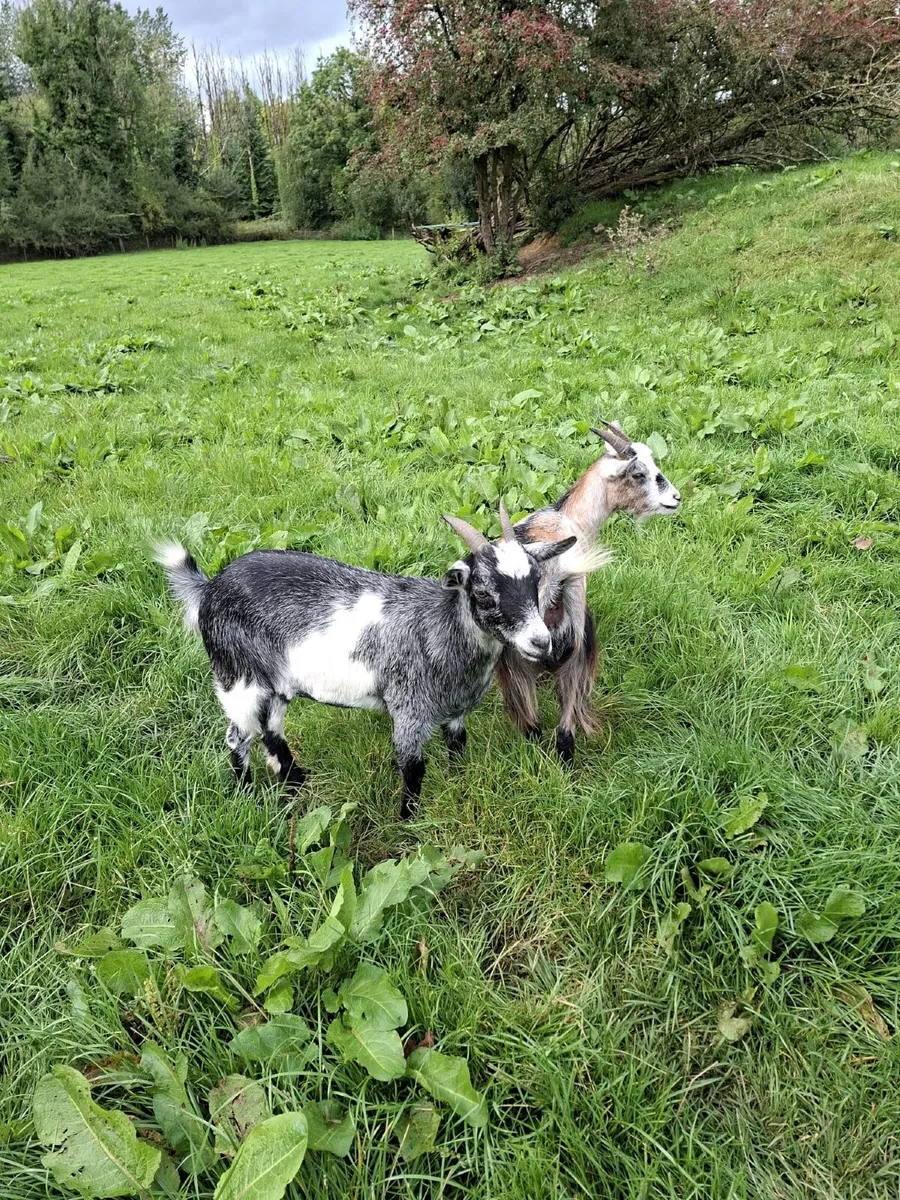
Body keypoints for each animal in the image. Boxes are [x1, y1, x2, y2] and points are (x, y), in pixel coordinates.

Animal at [156, 505, 579, 819]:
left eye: (536, 582)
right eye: (483, 594)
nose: (541, 642)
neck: (439, 628)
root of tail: (209, 589)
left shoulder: (453, 711)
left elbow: (458, 747)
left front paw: (458, 785)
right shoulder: (408, 710)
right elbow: (413, 769)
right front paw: (408, 822)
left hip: (278, 684)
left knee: (271, 730)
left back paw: (295, 782)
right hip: (237, 678)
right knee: (238, 735)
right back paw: (247, 795)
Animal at [495, 419, 681, 764]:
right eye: (638, 474)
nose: (675, 498)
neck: (568, 518)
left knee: (531, 725)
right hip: (576, 640)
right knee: (565, 723)